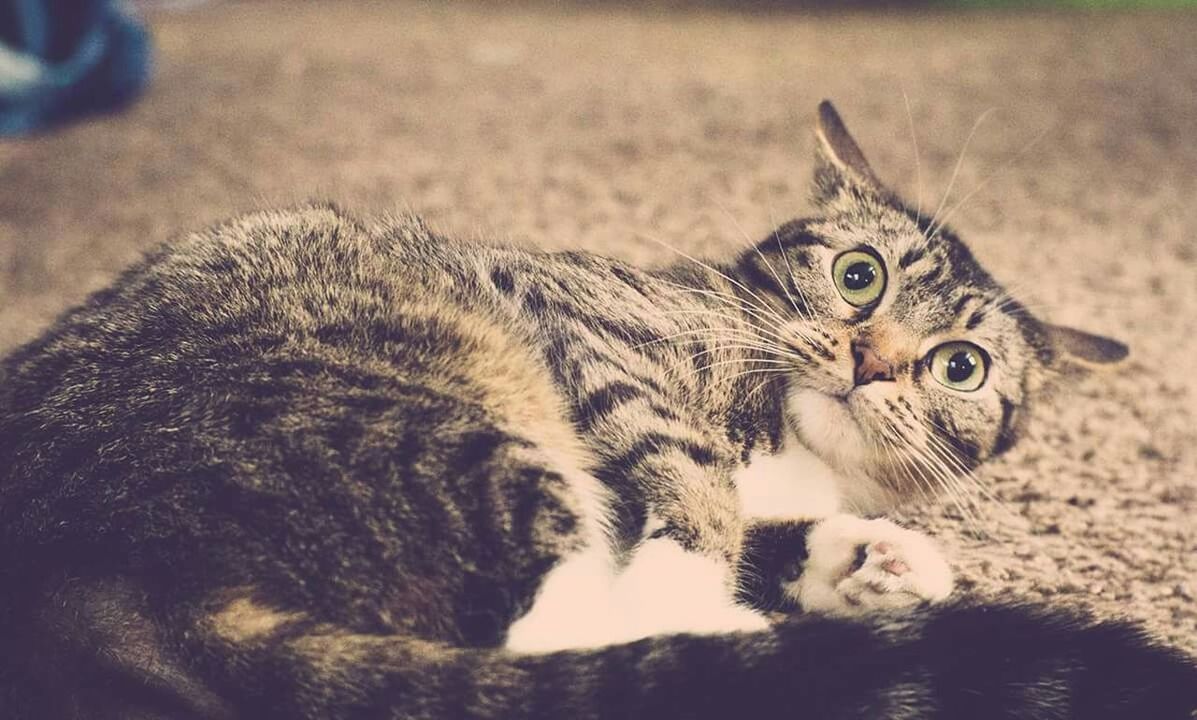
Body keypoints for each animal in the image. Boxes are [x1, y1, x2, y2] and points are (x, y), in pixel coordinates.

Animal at [0, 102, 1192, 717]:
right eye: (860, 277)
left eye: (959, 368)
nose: (874, 358)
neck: (794, 443)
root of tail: (92, 566)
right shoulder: (592, 336)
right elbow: (695, 490)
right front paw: (736, 580)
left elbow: (764, 529)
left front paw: (875, 556)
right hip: (446, 403)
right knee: (547, 637)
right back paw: (730, 644)